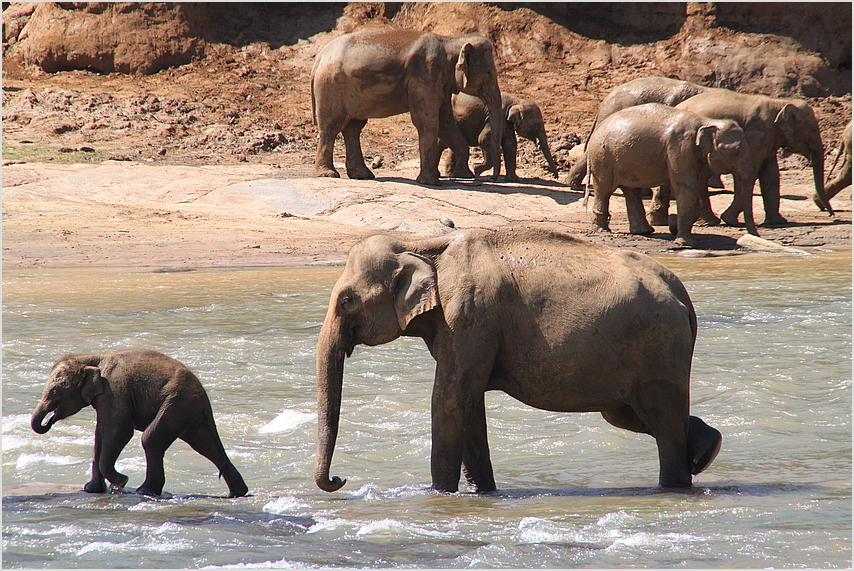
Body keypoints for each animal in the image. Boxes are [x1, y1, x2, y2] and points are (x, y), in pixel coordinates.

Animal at [31, 346, 249, 498]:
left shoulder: (114, 390)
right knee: (206, 446)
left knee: (151, 439)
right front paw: (92, 489)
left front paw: (121, 482)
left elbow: (119, 431)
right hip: (189, 412)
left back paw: (144, 491)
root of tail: (205, 399)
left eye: (56, 392)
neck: (91, 357)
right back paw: (239, 492)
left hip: (177, 403)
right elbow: (100, 434)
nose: (49, 420)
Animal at [310, 29, 504, 187]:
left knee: (353, 128)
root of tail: (319, 57)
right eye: (489, 73)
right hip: (331, 86)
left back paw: (362, 175)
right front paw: (431, 182)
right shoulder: (425, 76)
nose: (488, 177)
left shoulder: (439, 84)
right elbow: (428, 123)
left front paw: (464, 174)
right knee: (332, 127)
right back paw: (329, 174)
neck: (450, 41)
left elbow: (446, 123)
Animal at [314, 226, 724, 494]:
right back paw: (706, 450)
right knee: (631, 414)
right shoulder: (464, 327)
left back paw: (675, 485)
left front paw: (439, 496)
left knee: (660, 418)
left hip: (659, 346)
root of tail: (682, 294)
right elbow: (468, 403)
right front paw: (483, 493)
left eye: (346, 301)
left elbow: (449, 400)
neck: (420, 243)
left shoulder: (470, 315)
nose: (340, 480)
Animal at [680, 90, 840, 227]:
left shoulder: (769, 137)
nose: (832, 216)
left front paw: (777, 222)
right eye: (813, 129)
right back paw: (710, 221)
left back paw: (709, 221)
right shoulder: (757, 133)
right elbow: (752, 171)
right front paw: (730, 219)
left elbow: (770, 173)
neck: (780, 103)